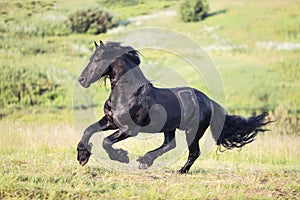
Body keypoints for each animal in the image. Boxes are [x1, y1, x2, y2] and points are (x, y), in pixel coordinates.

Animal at [76, 41, 270, 173]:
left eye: (98, 59)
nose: (81, 80)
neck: (128, 93)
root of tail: (209, 101)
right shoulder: (110, 121)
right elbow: (88, 130)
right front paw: (82, 156)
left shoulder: (129, 129)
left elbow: (106, 141)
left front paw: (122, 157)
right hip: (169, 127)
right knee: (170, 144)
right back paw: (145, 161)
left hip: (193, 131)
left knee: (193, 152)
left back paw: (180, 171)